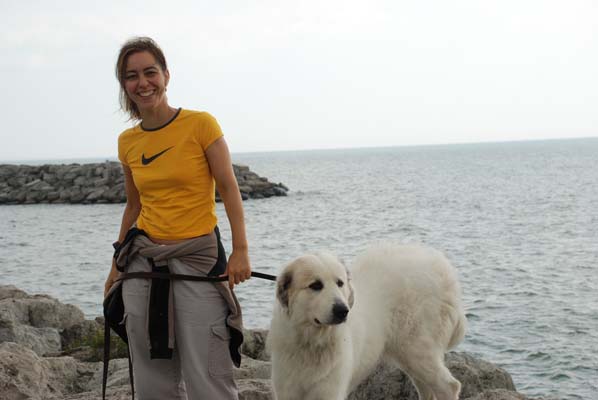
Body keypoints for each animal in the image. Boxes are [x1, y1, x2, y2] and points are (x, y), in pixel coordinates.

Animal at [268, 244, 468, 400]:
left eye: (340, 283)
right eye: (315, 285)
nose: (342, 310)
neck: (311, 342)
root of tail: (443, 269)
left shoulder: (330, 391)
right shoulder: (287, 390)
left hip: (417, 350)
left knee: (449, 386)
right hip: (411, 357)